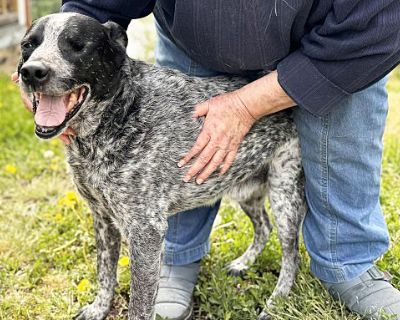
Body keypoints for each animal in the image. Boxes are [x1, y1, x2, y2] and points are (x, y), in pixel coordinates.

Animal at [18, 11, 306, 320]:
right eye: (28, 45)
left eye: (77, 46)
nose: (32, 72)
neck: (118, 115)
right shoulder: (103, 218)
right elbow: (105, 273)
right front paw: (99, 308)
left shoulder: (146, 232)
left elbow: (139, 305)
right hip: (246, 189)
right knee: (263, 226)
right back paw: (244, 263)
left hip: (285, 195)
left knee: (292, 257)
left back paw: (276, 303)